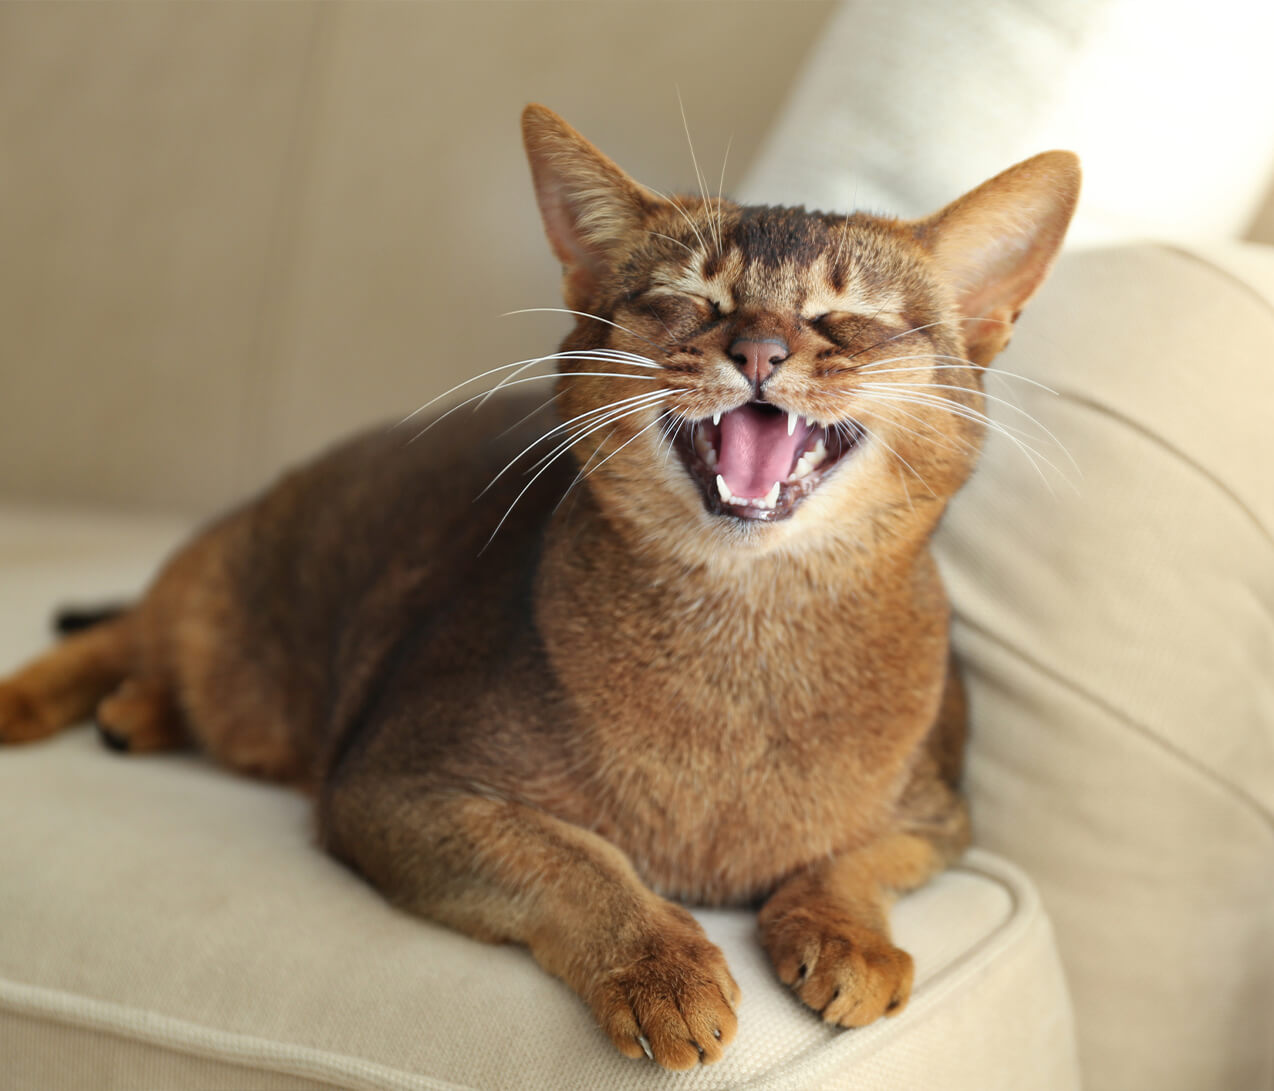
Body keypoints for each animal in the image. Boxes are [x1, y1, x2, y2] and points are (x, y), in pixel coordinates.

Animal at [0, 106, 1080, 1070]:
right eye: (689, 298)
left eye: (845, 319)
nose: (759, 351)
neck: (741, 638)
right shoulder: (394, 785)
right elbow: (572, 856)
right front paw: (660, 966)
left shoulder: (942, 818)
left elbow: (858, 860)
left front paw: (848, 934)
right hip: (230, 587)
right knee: (127, 627)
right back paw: (41, 701)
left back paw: (138, 714)